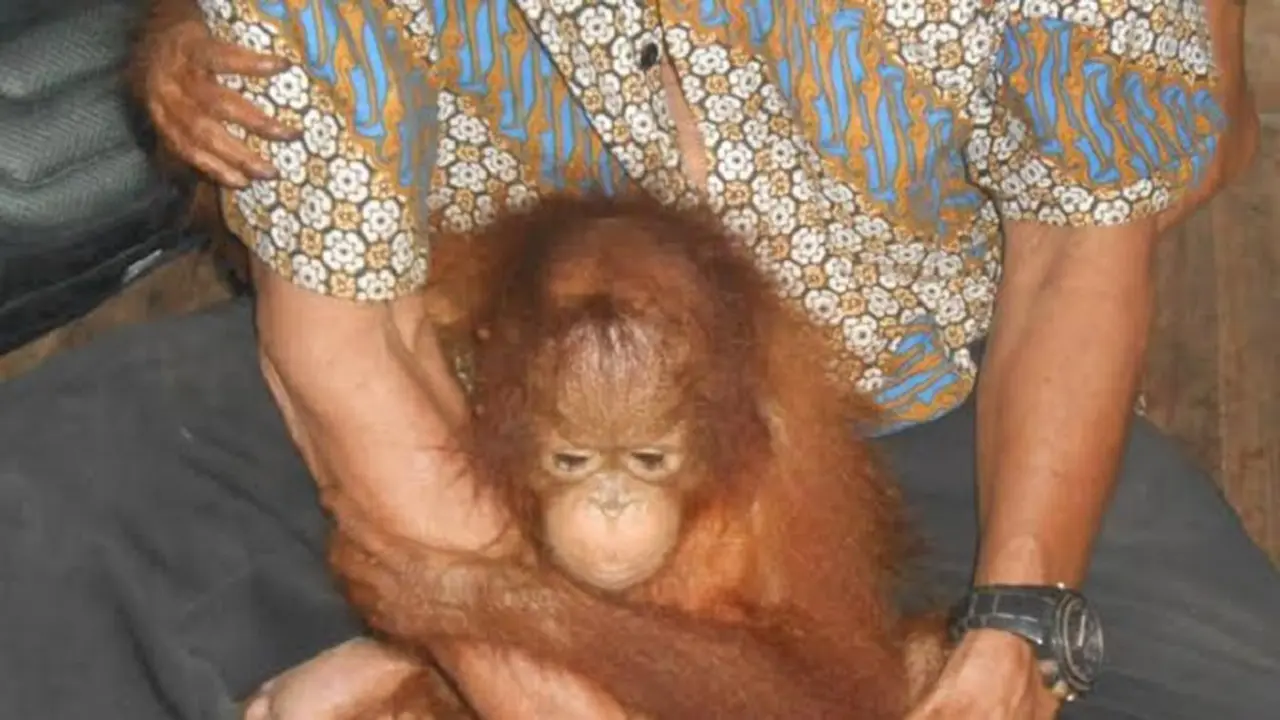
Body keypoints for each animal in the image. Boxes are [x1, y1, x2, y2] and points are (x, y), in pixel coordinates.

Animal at [325, 194, 951, 720]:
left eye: (648, 460)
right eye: (571, 461)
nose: (612, 505)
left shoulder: (801, 463)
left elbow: (841, 680)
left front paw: (459, 591)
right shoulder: (459, 281)